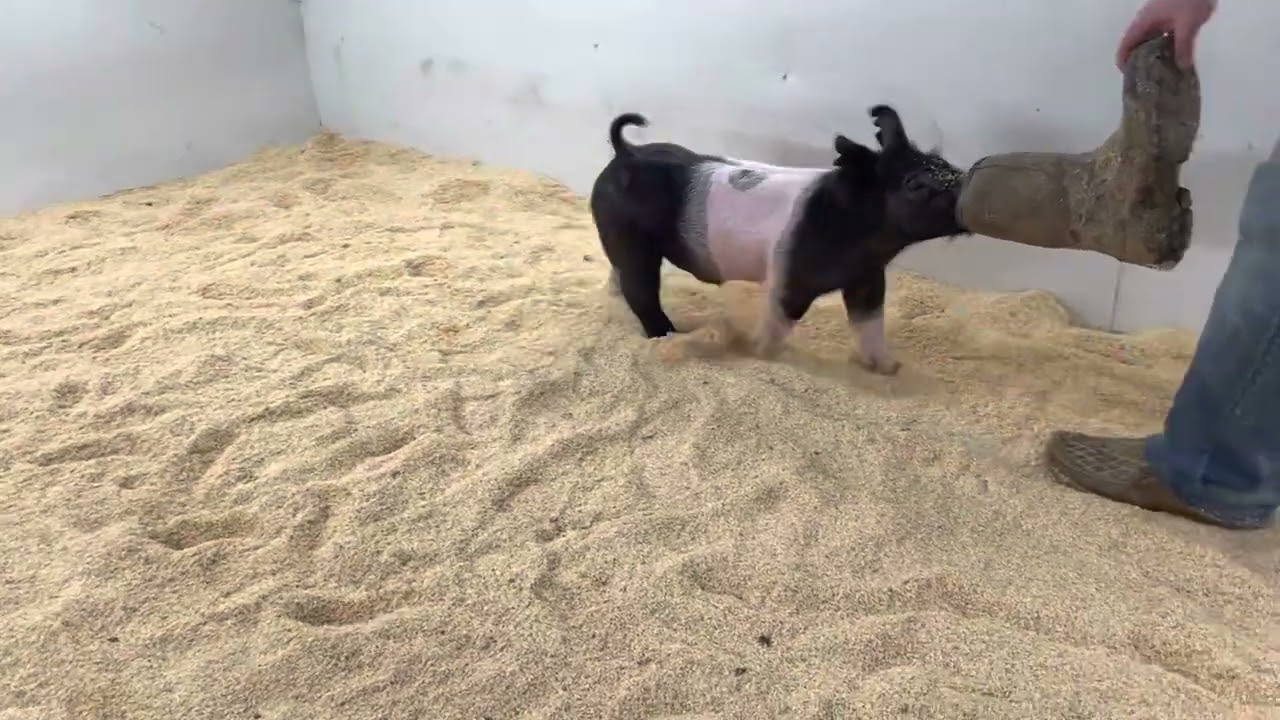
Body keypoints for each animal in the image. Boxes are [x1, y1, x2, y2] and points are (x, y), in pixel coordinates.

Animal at [587, 105, 968, 374]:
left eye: (942, 161)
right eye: (914, 183)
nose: (966, 182)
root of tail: (626, 152)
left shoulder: (868, 278)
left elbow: (870, 323)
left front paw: (890, 369)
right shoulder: (792, 276)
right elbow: (779, 320)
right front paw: (760, 353)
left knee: (619, 278)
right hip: (629, 236)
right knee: (641, 291)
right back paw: (670, 336)